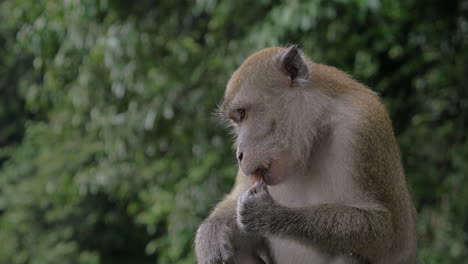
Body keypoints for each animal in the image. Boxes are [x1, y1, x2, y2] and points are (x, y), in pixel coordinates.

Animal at [194, 46, 416, 264]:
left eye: (242, 113)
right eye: (236, 120)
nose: (239, 154)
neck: (315, 131)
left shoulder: (361, 128)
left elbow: (386, 232)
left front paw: (272, 215)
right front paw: (212, 230)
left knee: (348, 253)